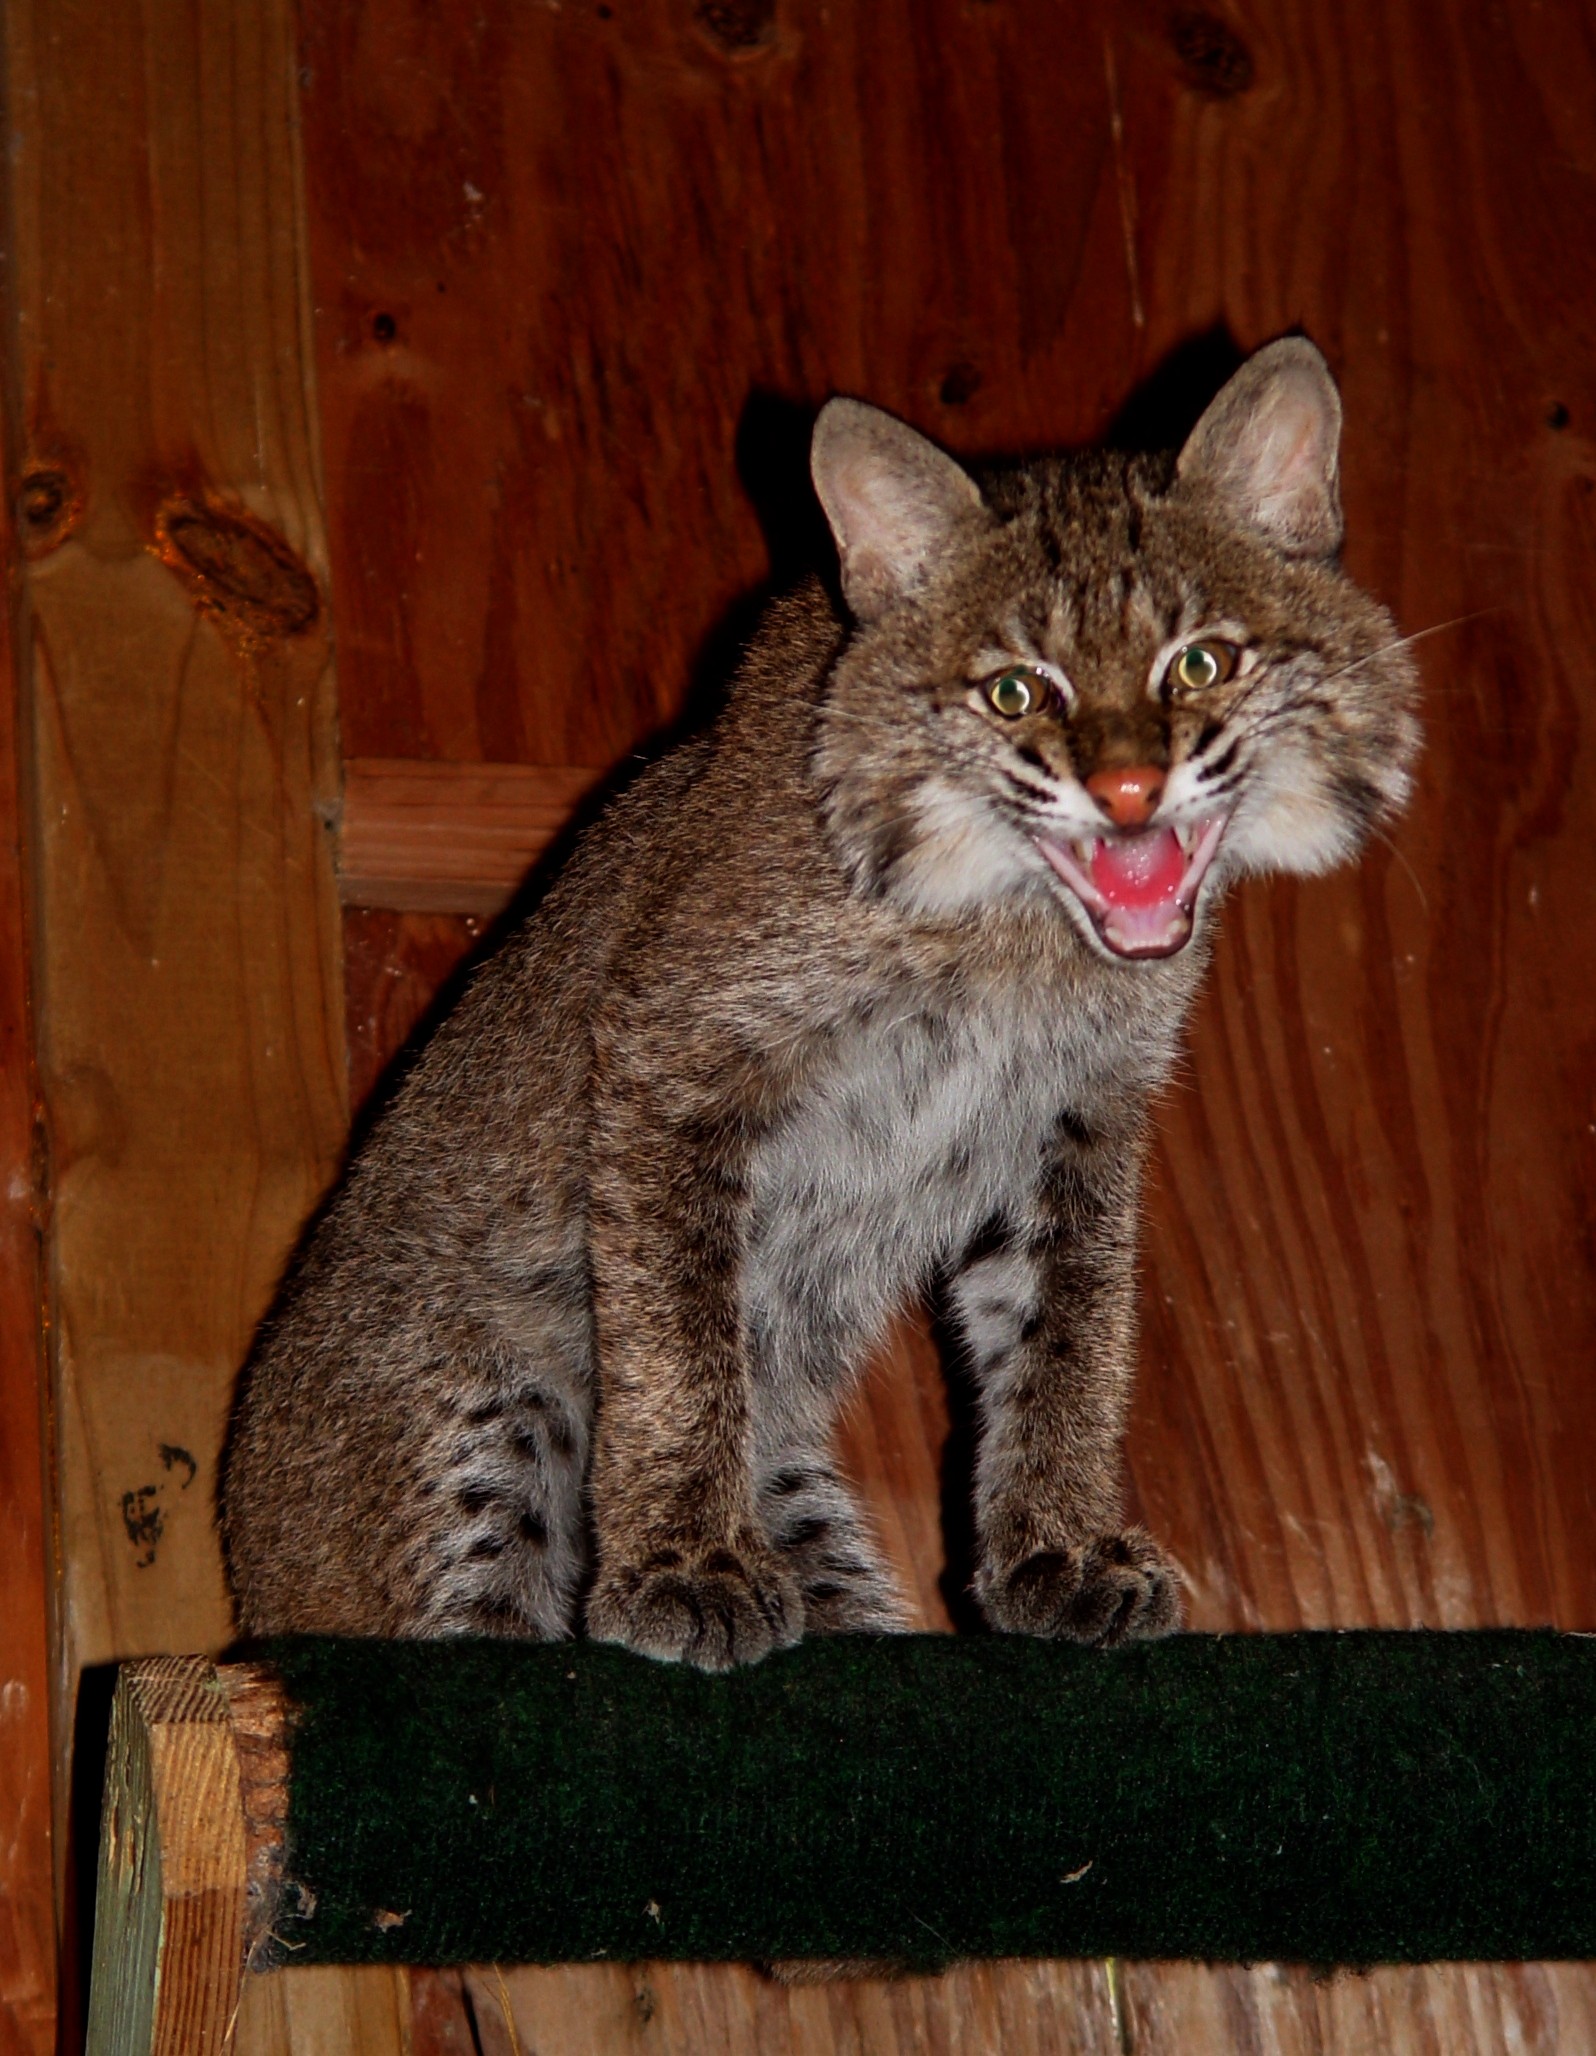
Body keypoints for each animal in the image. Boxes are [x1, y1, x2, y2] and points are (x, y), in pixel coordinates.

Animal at [223, 337, 1419, 1669]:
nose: (1126, 790)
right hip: (484, 1415)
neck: (1018, 941)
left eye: (1202, 662)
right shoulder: (670, 1055)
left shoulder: (1078, 1122)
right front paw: (681, 1565)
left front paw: (1056, 1552)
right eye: (1014, 693)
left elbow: (1070, 1334)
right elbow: (679, 1331)